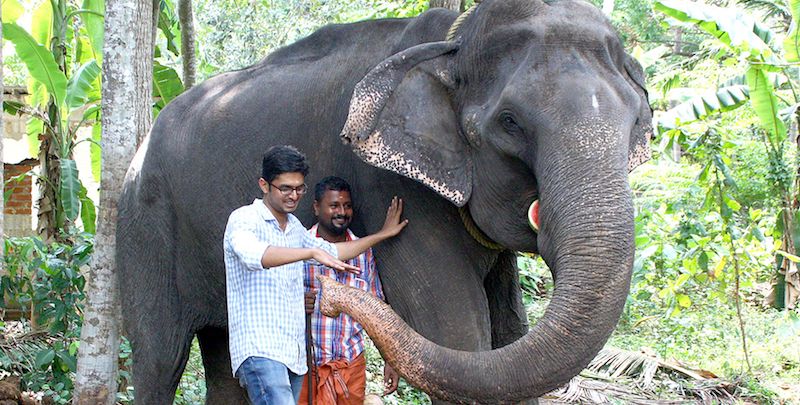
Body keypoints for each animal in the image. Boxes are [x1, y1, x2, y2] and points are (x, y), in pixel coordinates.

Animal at [115, 0, 652, 402]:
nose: (328, 297)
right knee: (159, 358)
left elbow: (509, 331)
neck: (454, 40)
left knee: (225, 358)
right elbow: (458, 334)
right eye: (510, 122)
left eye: (636, 121)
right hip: (143, 225)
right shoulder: (391, 187)